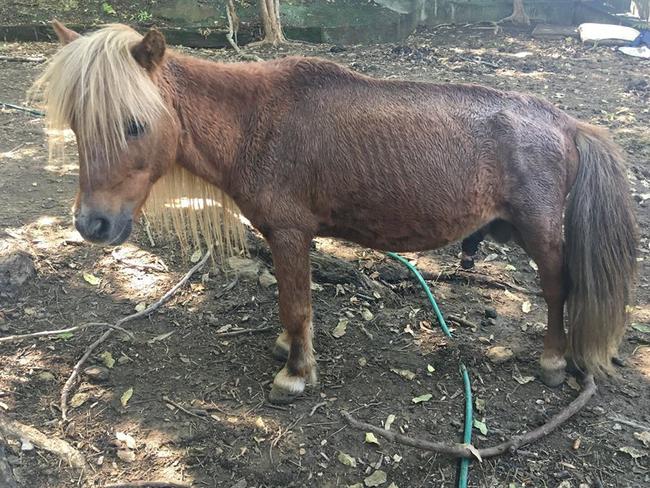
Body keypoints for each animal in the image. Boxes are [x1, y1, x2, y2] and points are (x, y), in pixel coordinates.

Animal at [33, 21, 636, 404]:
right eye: (78, 123)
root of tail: (567, 123)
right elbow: (290, 304)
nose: (93, 224)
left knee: (558, 290)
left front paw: (295, 375)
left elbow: (297, 305)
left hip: (541, 233)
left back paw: (554, 361)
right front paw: (288, 348)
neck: (255, 123)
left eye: (134, 124)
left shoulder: (290, 233)